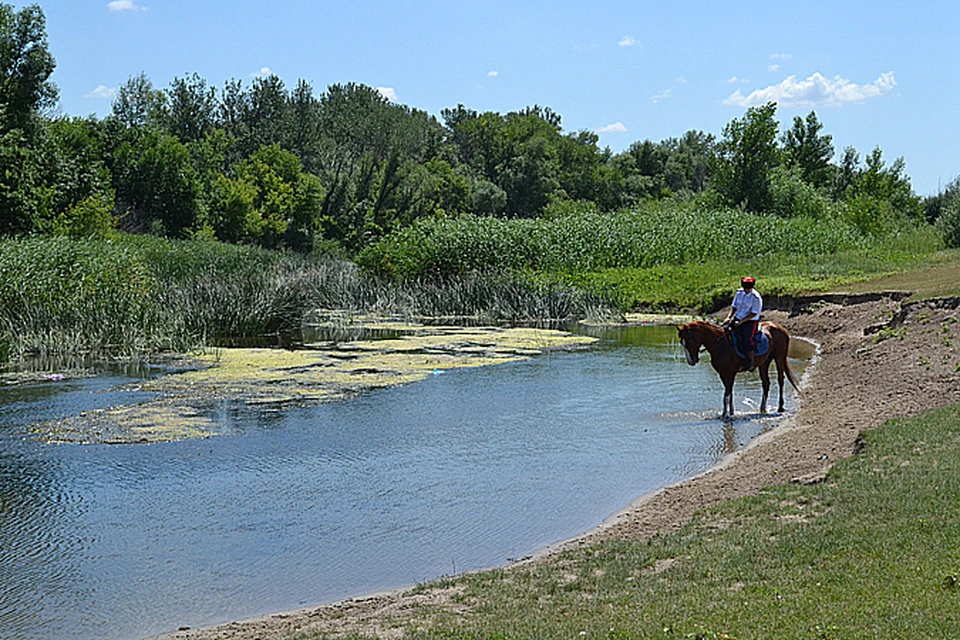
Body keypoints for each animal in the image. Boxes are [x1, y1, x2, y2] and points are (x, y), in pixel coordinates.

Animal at [676, 320, 804, 420]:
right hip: (764, 363)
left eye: (689, 340)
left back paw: (780, 407)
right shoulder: (723, 374)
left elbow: (726, 395)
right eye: (681, 342)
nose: (691, 361)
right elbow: (729, 393)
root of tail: (781, 328)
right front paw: (731, 413)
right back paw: (762, 408)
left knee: (780, 380)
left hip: (779, 358)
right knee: (766, 383)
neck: (721, 344)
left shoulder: (729, 373)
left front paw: (725, 415)